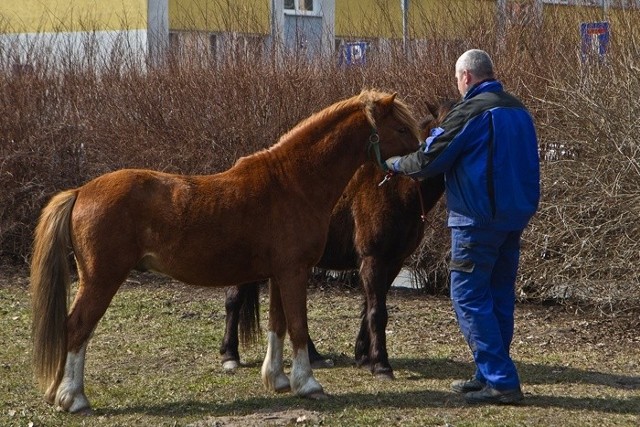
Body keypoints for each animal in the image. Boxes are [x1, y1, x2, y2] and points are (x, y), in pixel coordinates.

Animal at [31, 90, 420, 414]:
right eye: (401, 126)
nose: (422, 159)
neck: (293, 183)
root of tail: (81, 191)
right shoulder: (295, 272)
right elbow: (297, 326)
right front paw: (309, 384)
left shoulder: (279, 275)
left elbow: (277, 325)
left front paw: (277, 379)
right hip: (101, 279)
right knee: (76, 328)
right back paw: (74, 398)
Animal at [221, 99, 456, 378]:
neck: (397, 189)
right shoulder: (373, 260)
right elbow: (377, 312)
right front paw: (381, 364)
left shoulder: (393, 262)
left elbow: (368, 309)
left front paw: (364, 356)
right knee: (234, 298)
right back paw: (230, 354)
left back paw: (313, 356)